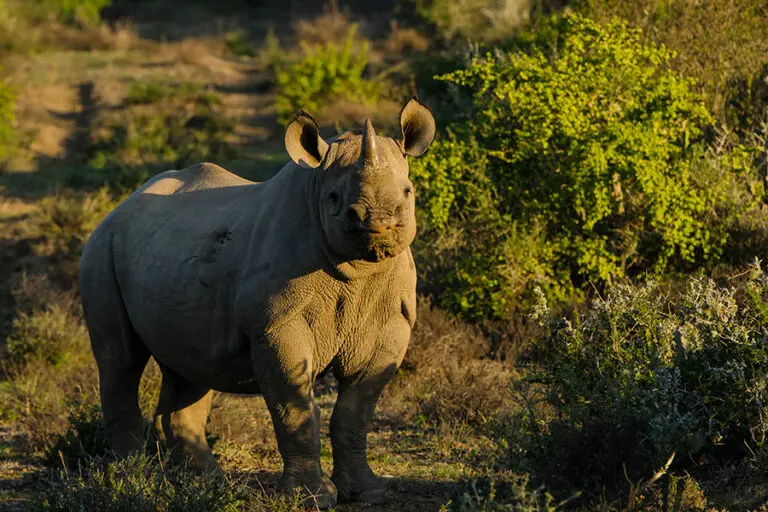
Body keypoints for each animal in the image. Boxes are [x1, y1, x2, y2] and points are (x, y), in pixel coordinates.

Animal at [78, 98, 436, 507]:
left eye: (408, 191)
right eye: (333, 199)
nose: (375, 219)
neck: (359, 266)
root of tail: (122, 204)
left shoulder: (392, 319)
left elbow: (356, 409)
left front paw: (368, 492)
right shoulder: (278, 323)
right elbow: (295, 407)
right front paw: (311, 499)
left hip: (166, 251)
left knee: (191, 368)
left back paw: (207, 484)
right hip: (101, 247)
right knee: (120, 359)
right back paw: (129, 480)